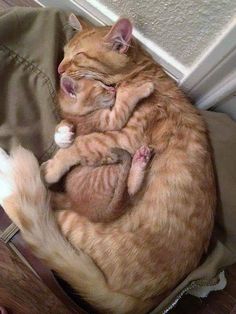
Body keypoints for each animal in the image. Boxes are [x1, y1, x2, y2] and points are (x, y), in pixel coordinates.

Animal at [51, 76, 154, 222]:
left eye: (103, 83)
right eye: (99, 87)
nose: (113, 88)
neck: (80, 116)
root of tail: (74, 204)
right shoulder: (108, 120)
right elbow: (124, 104)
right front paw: (141, 88)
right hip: (111, 170)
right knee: (129, 188)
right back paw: (139, 162)